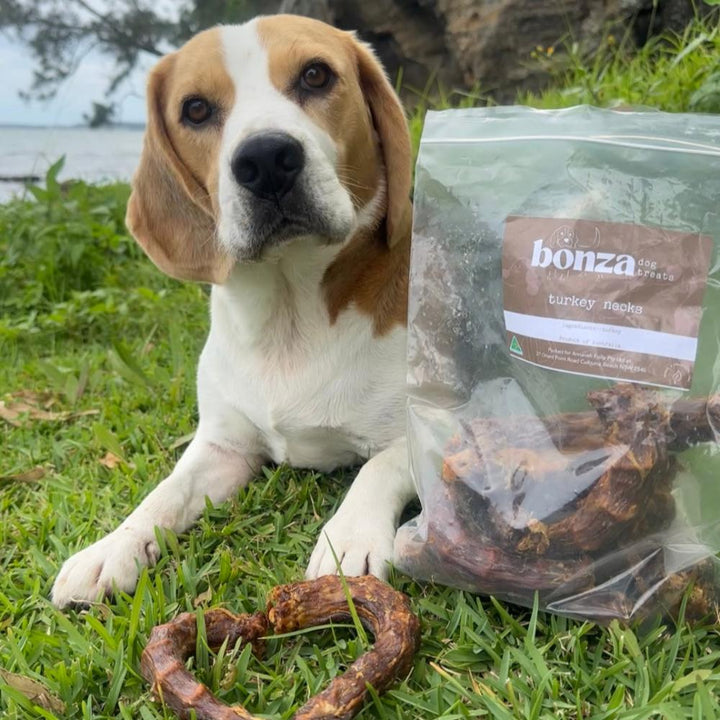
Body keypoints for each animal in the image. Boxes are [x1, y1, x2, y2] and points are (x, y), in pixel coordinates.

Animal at [52, 14, 416, 604]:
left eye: (316, 75)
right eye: (196, 109)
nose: (265, 160)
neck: (290, 319)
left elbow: (381, 465)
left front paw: (349, 537)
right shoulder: (222, 447)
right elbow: (165, 492)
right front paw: (112, 547)